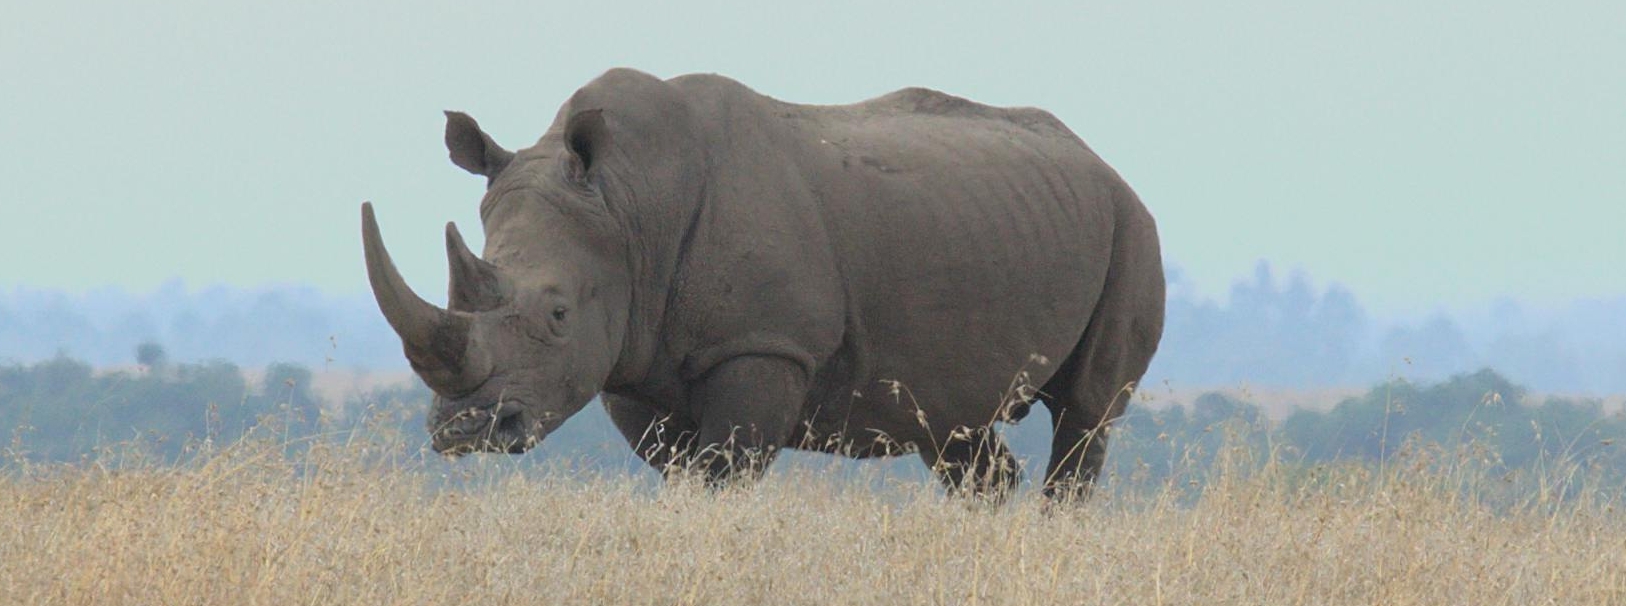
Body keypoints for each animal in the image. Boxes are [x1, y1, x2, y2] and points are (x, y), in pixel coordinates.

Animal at [361, 68, 1163, 499]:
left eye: (558, 314)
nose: (464, 431)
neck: (626, 205)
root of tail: (1100, 161)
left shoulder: (763, 344)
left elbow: (723, 471)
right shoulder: (634, 360)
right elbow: (685, 475)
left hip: (1131, 225)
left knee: (1086, 414)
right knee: (953, 429)